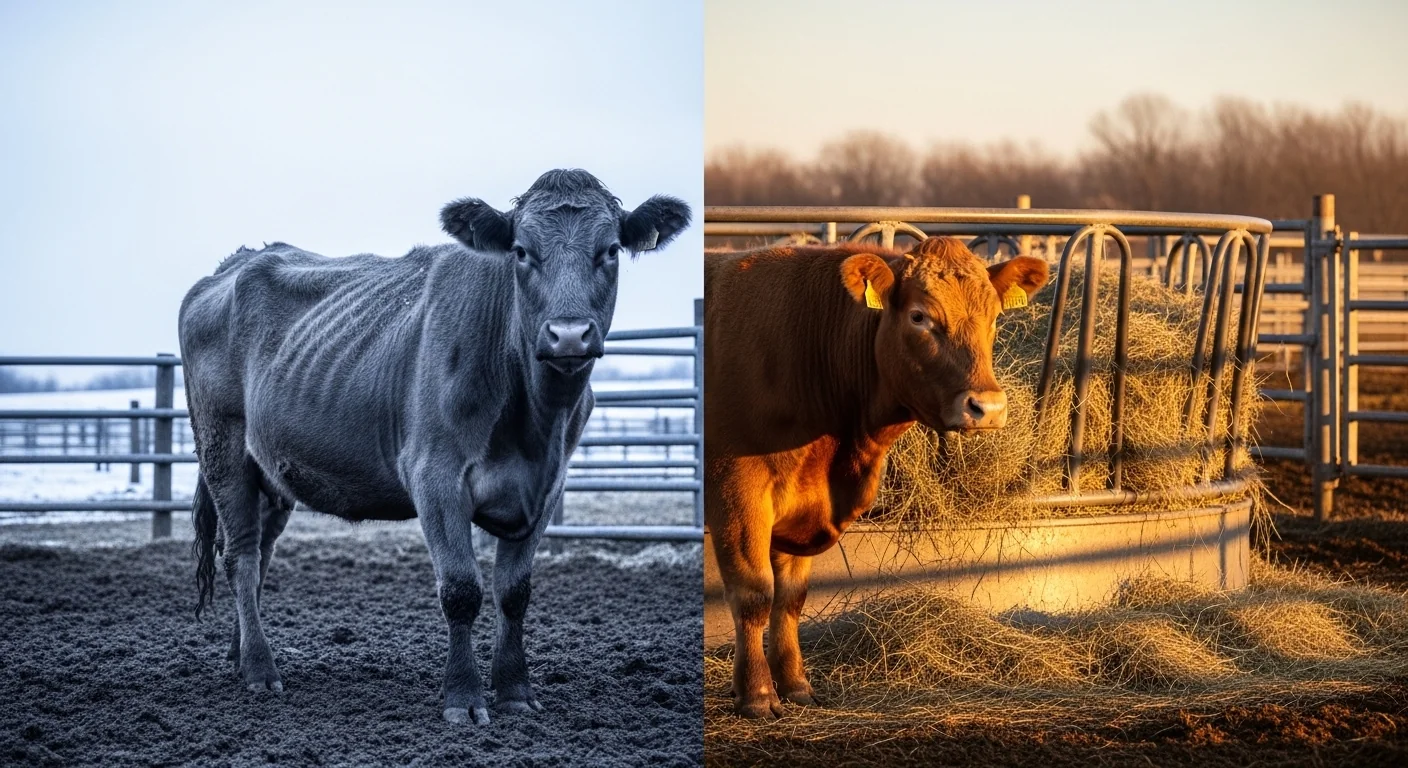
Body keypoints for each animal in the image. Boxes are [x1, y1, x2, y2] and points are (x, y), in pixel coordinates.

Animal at [178, 169, 690, 725]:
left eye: (611, 249)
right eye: (521, 251)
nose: (569, 335)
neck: (533, 422)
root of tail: (239, 260)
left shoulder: (548, 486)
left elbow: (514, 592)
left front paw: (515, 690)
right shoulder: (435, 476)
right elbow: (462, 590)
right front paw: (464, 698)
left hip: (272, 470)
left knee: (259, 552)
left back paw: (238, 654)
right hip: (223, 449)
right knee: (241, 557)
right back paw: (259, 669)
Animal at [703, 235, 1049, 718]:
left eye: (996, 316)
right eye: (919, 316)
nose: (988, 407)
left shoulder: (801, 503)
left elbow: (790, 599)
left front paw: (796, 686)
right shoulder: (738, 492)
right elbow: (755, 594)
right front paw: (756, 695)